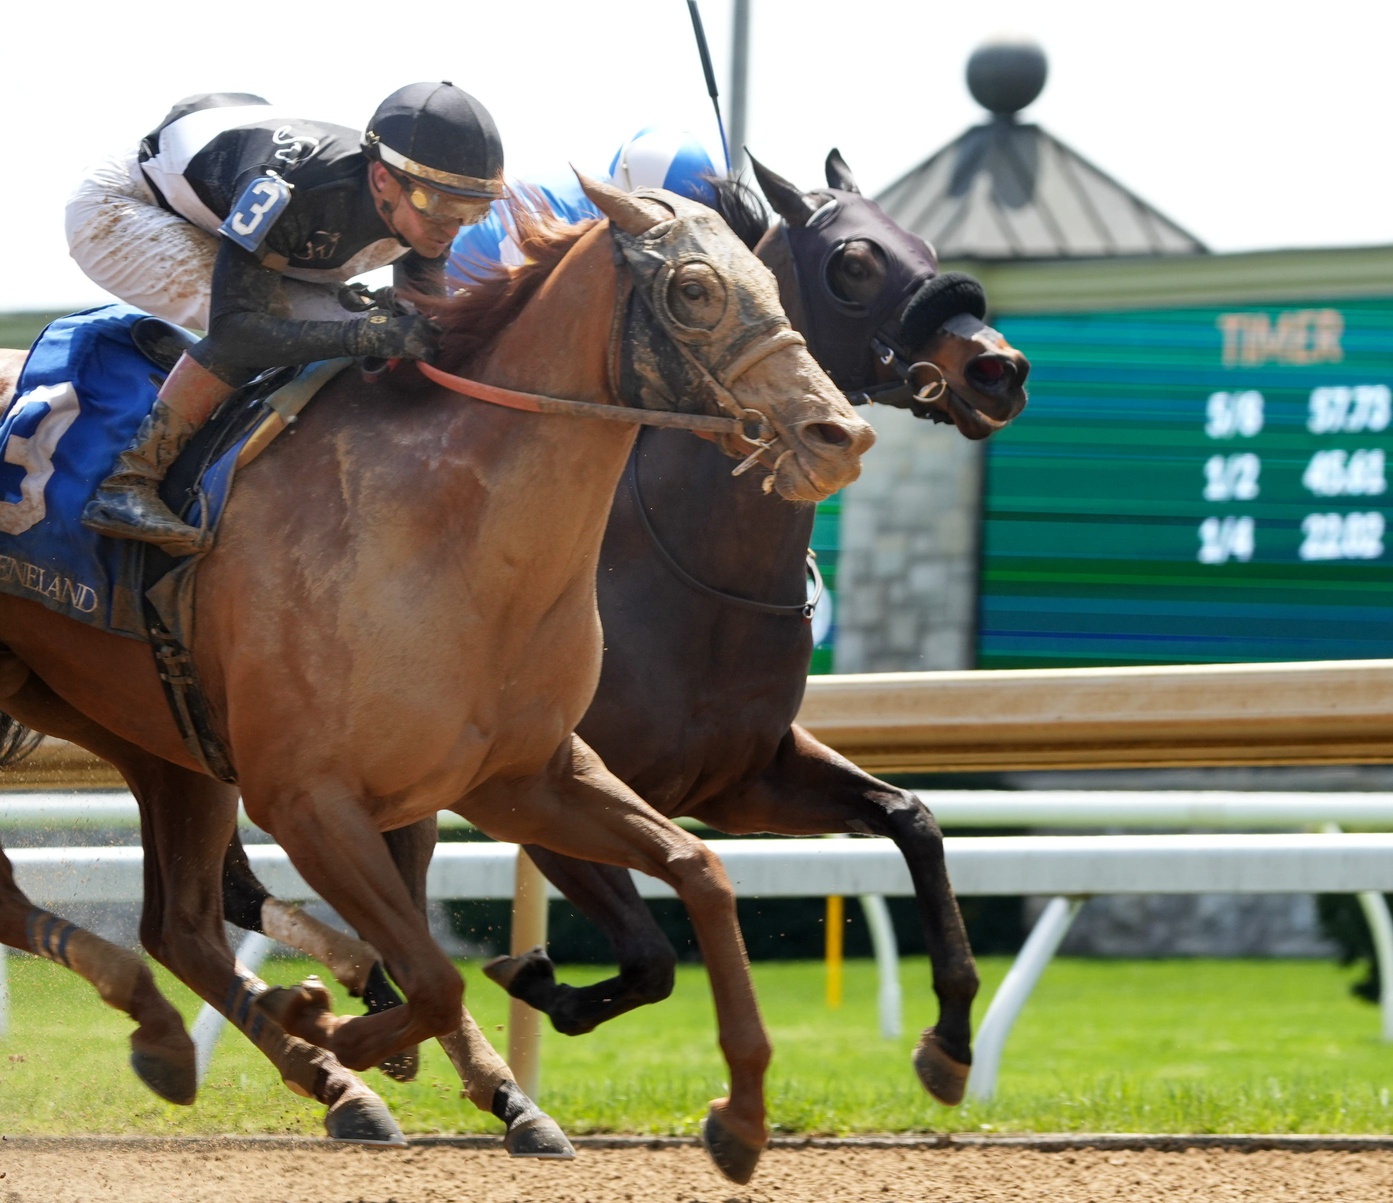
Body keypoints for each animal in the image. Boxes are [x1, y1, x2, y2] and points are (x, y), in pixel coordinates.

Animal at [0, 178, 873, 1182]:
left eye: (768, 279)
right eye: (694, 288)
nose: (839, 433)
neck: (446, 533)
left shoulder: (522, 777)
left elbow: (700, 870)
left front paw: (740, 1112)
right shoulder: (306, 798)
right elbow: (433, 974)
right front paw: (331, 1015)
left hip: (150, 734)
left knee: (174, 923)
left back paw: (214, 1044)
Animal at [218, 151, 1029, 1107]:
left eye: (927, 245)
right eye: (855, 261)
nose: (997, 369)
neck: (692, 576)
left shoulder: (740, 776)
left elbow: (913, 819)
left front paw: (949, 1038)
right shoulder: (541, 787)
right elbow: (647, 956)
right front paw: (533, 978)